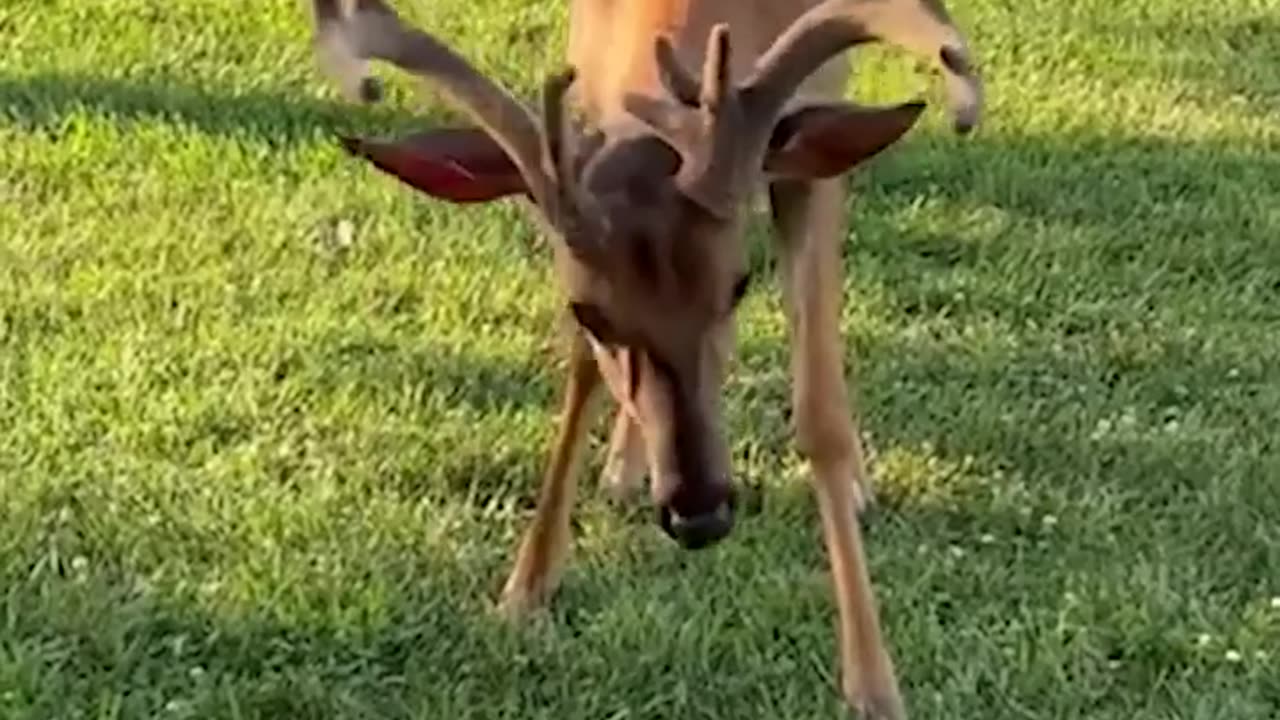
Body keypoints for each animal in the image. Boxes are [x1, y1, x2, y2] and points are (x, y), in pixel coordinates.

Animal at [307, 0, 977, 712]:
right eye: (589, 312)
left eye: (737, 285)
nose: (699, 513)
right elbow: (580, 378)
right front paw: (525, 586)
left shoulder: (800, 162)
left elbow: (816, 404)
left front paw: (873, 682)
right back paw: (624, 468)